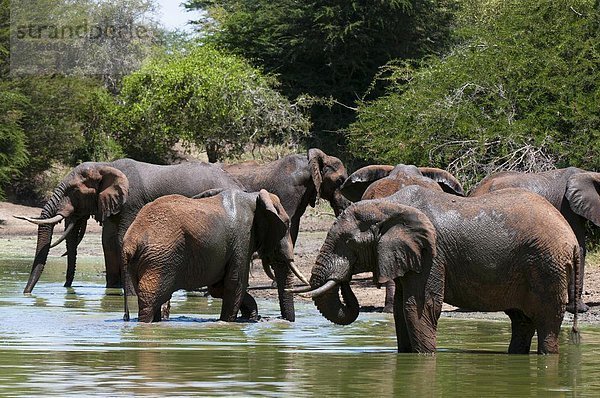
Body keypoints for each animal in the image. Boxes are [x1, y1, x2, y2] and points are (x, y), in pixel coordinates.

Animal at [122, 188, 310, 322]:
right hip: (161, 258)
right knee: (151, 299)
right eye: (286, 224)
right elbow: (236, 284)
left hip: (145, 261)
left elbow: (219, 287)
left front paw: (251, 317)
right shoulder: (243, 237)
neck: (254, 197)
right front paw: (228, 322)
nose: (281, 320)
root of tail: (130, 242)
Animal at [300, 185, 580, 352]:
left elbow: (418, 308)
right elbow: (401, 311)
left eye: (347, 242)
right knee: (521, 320)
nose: (344, 279)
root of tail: (572, 239)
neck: (388, 205)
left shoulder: (431, 255)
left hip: (547, 266)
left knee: (547, 322)